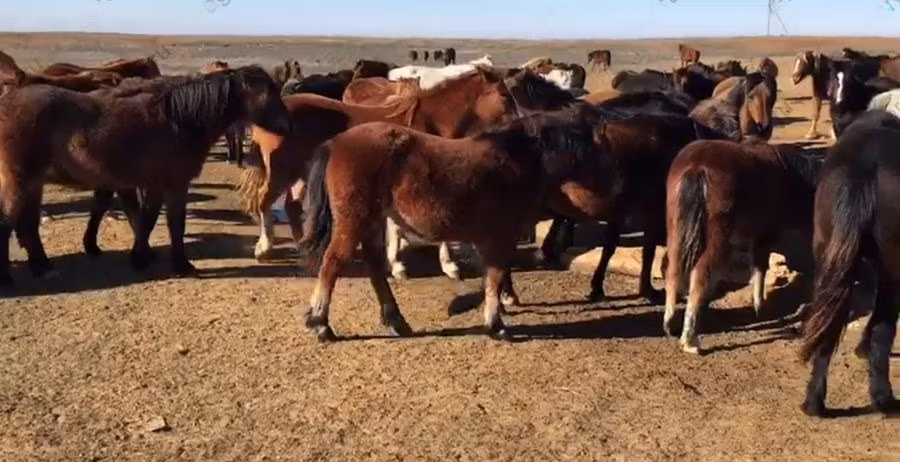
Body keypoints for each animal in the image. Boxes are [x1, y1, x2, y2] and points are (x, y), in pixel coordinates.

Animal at [0, 66, 293, 284]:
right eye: (267, 92)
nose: (288, 126)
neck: (179, 120)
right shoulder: (175, 185)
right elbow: (174, 223)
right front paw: (181, 264)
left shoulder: (154, 184)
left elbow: (147, 219)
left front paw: (140, 257)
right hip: (19, 181)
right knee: (8, 222)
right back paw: (10, 277)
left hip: (34, 183)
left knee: (28, 226)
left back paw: (42, 267)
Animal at [298, 106, 610, 341]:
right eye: (601, 151)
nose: (615, 193)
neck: (516, 160)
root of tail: (335, 143)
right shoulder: (500, 237)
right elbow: (496, 277)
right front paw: (496, 324)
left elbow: (493, 276)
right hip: (354, 221)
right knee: (332, 263)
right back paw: (322, 324)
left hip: (372, 221)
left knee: (374, 267)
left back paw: (396, 321)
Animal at [664, 139, 824, 354]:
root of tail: (697, 166)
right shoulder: (764, 237)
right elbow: (759, 269)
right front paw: (759, 306)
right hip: (717, 238)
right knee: (701, 276)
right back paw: (690, 340)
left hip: (676, 230)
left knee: (673, 270)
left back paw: (671, 322)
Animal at [799, 109, 900, 417]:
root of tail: (863, 168)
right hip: (892, 271)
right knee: (882, 326)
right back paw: (883, 398)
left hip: (830, 259)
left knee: (828, 325)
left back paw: (814, 403)